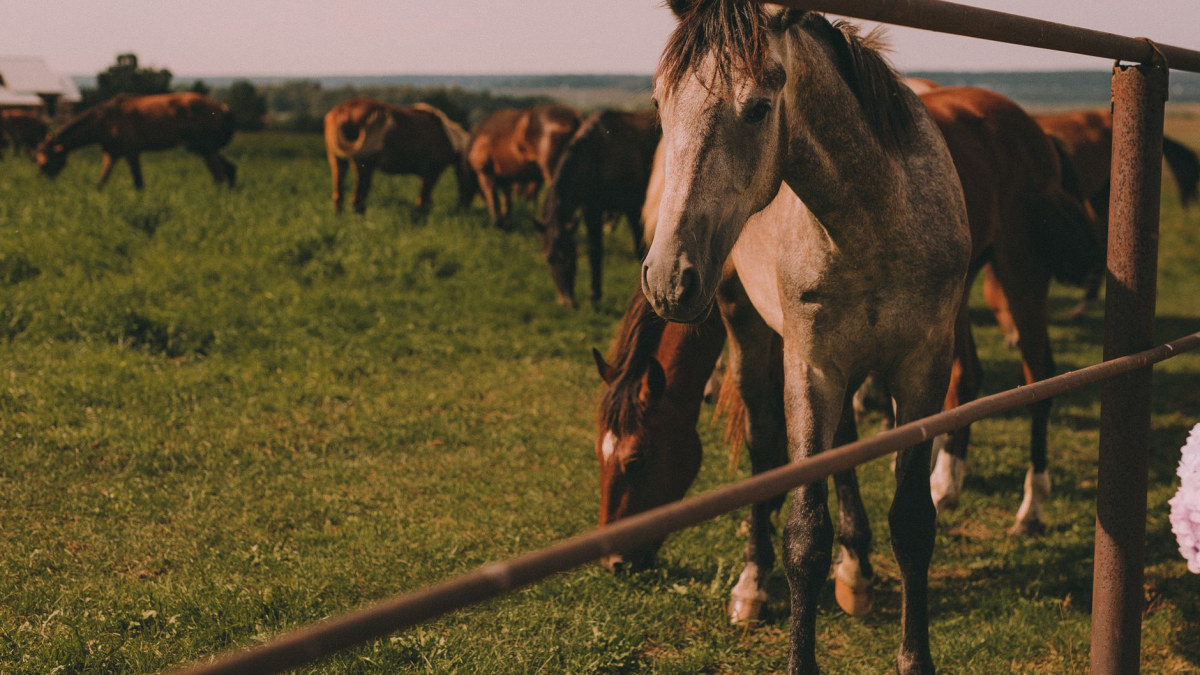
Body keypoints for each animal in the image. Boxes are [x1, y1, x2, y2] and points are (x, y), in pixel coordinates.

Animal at [35, 93, 236, 189]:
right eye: (38, 162)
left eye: (46, 164)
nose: (42, 186)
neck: (105, 122)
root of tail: (223, 108)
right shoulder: (111, 154)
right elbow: (100, 183)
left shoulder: (131, 152)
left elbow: (139, 183)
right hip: (204, 148)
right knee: (229, 169)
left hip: (205, 148)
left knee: (220, 174)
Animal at [323, 98, 472, 214]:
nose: (463, 206)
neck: (448, 137)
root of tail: (343, 111)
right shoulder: (431, 173)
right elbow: (423, 199)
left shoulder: (426, 175)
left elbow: (426, 199)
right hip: (364, 167)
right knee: (357, 199)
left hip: (337, 161)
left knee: (338, 195)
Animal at [538, 109, 659, 307]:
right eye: (548, 258)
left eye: (571, 256)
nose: (566, 301)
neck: (597, 156)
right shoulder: (591, 210)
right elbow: (595, 250)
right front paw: (594, 295)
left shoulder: (633, 208)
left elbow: (640, 250)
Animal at [642, 4, 971, 672]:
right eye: (660, 102)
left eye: (758, 108)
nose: (666, 280)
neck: (874, 222)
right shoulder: (812, 367)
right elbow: (804, 534)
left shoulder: (922, 365)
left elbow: (912, 522)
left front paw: (912, 654)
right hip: (748, 328)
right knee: (765, 444)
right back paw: (752, 583)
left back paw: (857, 569)